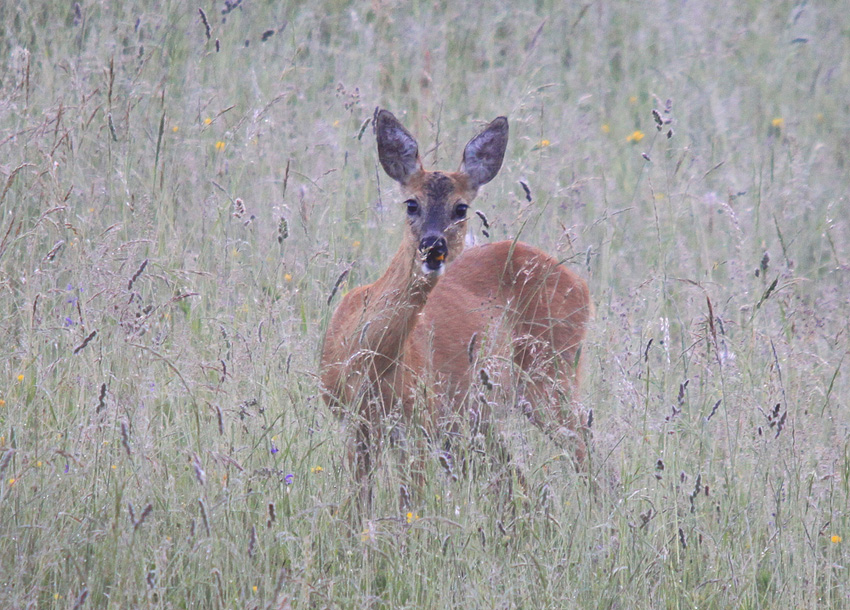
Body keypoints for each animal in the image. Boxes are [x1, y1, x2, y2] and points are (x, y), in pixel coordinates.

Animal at [318, 108, 588, 508]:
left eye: (461, 208)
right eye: (411, 203)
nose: (434, 247)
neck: (368, 357)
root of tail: (580, 284)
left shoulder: (417, 420)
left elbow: (408, 507)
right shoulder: (355, 423)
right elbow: (355, 507)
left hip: (552, 376)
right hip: (478, 417)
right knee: (518, 483)